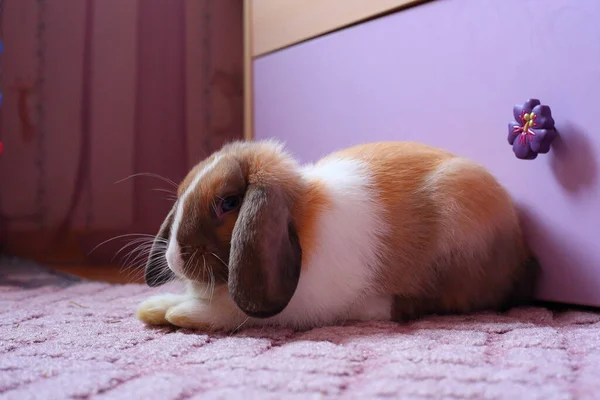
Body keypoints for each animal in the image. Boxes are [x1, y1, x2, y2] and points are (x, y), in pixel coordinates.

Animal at [136, 140, 540, 332]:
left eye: (228, 202)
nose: (174, 257)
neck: (301, 220)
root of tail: (521, 253)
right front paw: (153, 307)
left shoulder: (292, 306)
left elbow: (232, 312)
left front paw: (178, 313)